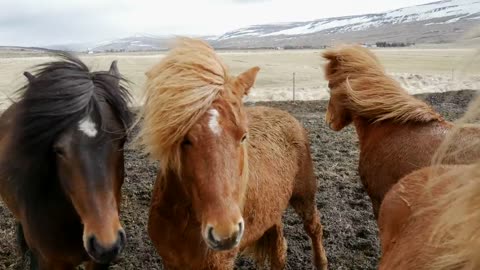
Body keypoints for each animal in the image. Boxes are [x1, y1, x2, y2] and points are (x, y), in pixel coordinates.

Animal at [135, 37, 328, 270]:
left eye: (243, 136)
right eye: (184, 139)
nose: (225, 233)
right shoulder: (170, 262)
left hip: (305, 195)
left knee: (314, 228)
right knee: (279, 248)